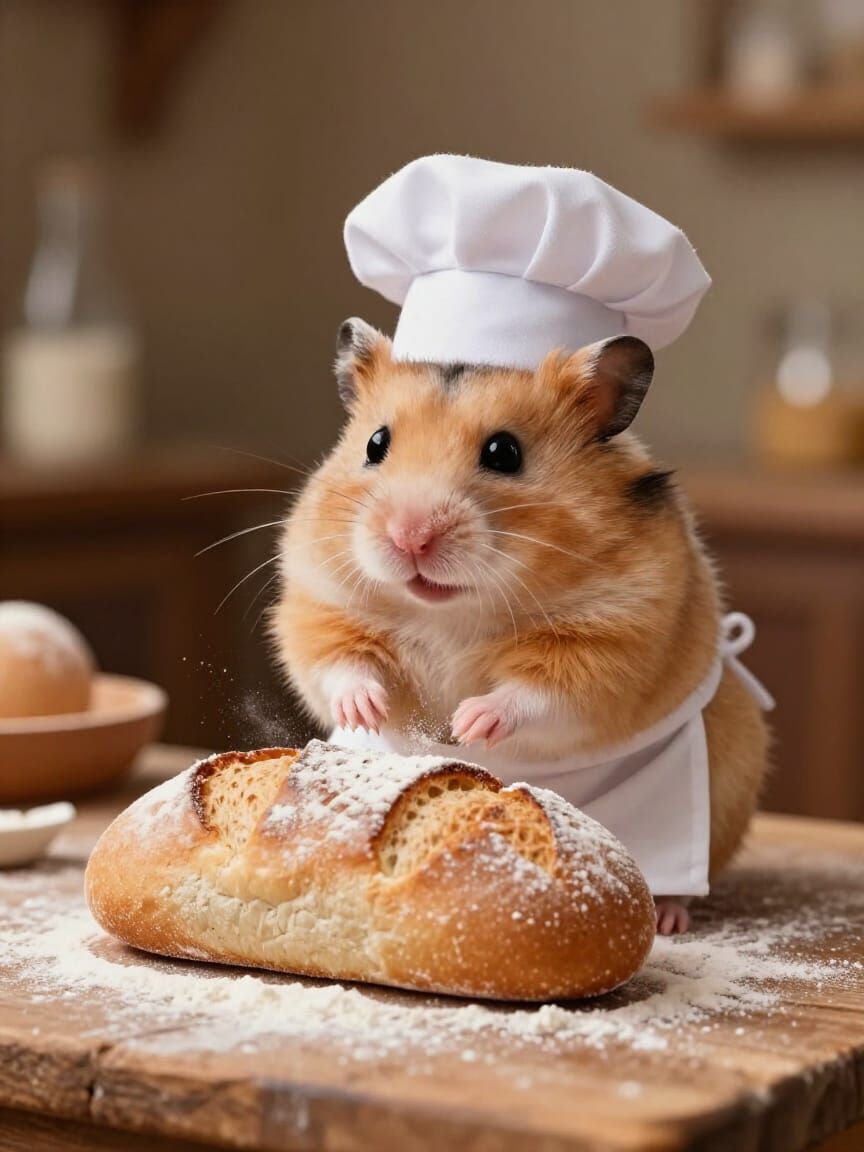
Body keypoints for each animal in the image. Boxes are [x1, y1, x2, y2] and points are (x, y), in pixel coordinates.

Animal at [271, 317, 769, 934]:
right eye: (375, 444)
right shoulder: (318, 603)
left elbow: (537, 693)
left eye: (504, 452)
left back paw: (669, 917)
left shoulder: (612, 640)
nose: (409, 536)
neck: (453, 609)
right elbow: (339, 662)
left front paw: (467, 724)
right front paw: (369, 711)